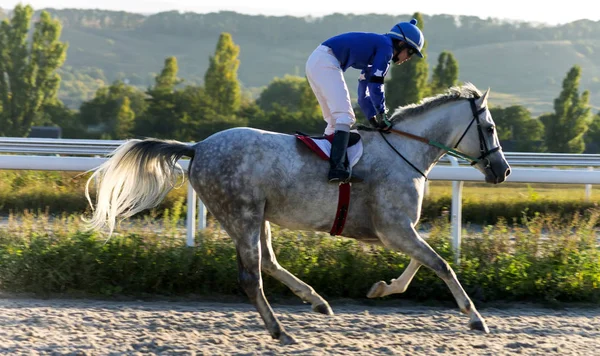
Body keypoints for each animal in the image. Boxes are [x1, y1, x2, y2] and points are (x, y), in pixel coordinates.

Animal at [84, 83, 510, 344]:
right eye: (490, 128)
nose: (503, 170)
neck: (405, 151)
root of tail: (198, 147)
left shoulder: (398, 230)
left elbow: (422, 264)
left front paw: (381, 288)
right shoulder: (394, 229)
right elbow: (441, 264)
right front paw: (475, 317)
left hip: (256, 217)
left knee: (268, 263)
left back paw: (317, 301)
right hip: (242, 214)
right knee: (251, 277)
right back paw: (280, 331)